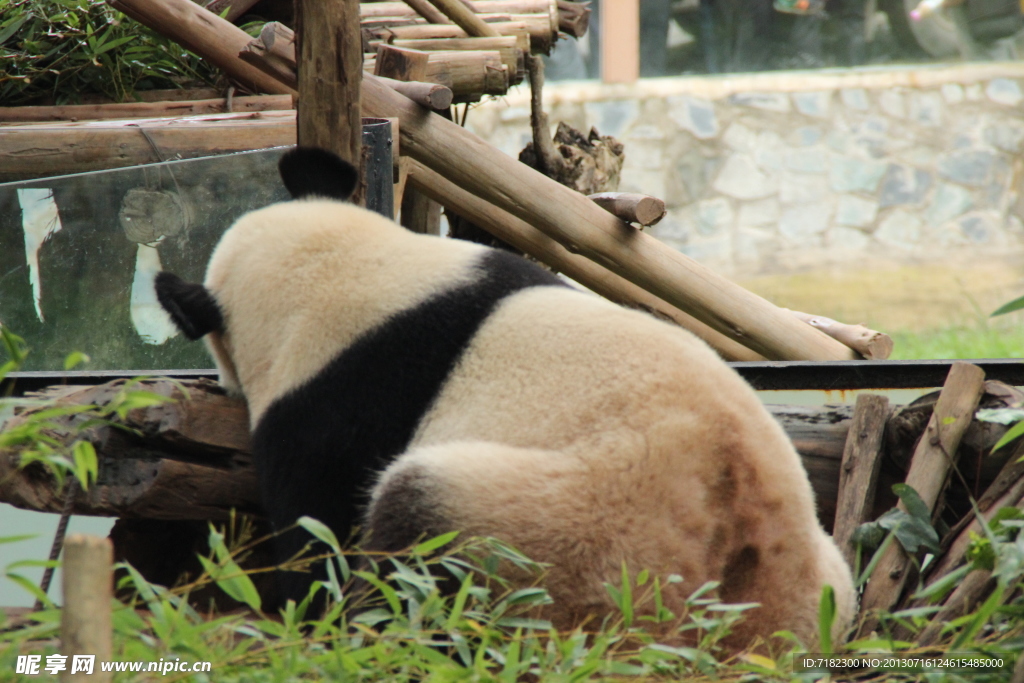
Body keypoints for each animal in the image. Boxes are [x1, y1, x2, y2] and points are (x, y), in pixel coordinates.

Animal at [153, 147, 856, 651]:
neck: (339, 275)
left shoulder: (335, 400)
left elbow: (318, 527)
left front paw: (298, 612)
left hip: (577, 538)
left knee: (426, 521)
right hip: (821, 572)